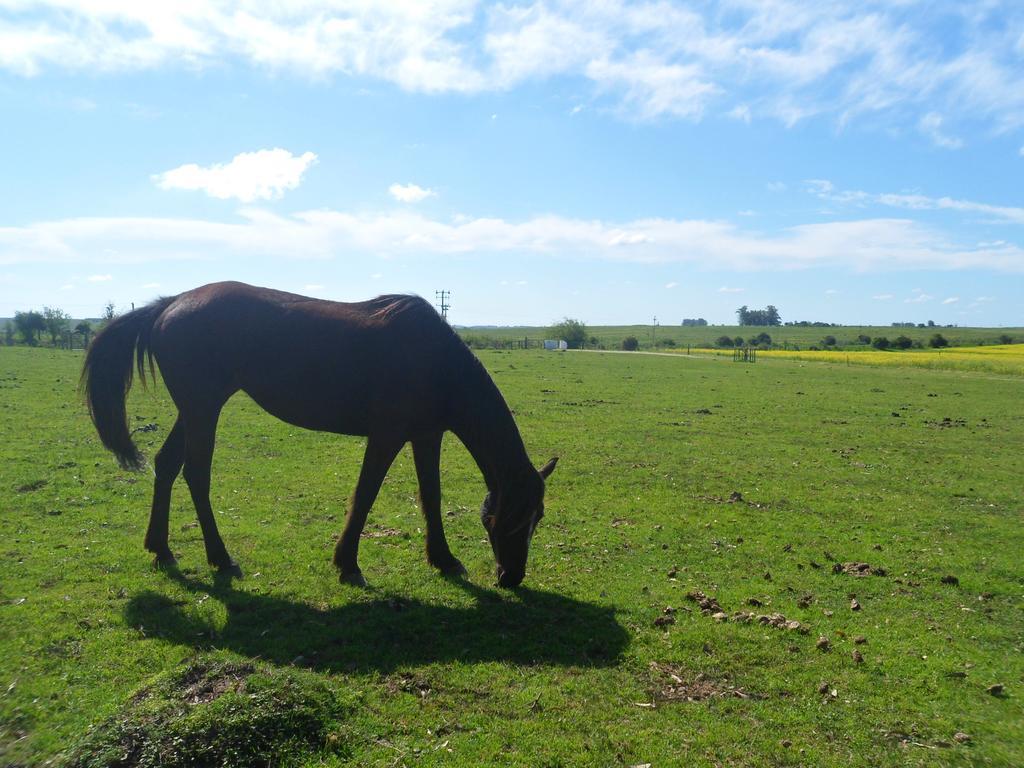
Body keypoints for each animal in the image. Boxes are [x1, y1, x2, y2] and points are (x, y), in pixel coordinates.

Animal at [82, 282, 557, 589]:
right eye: (514, 518)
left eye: (539, 518)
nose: (512, 577)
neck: (435, 361)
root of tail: (171, 303)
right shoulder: (386, 436)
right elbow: (365, 495)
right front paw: (348, 564)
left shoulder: (426, 436)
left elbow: (431, 496)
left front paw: (443, 560)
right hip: (203, 410)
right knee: (196, 475)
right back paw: (220, 557)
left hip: (194, 410)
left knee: (167, 465)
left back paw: (161, 549)